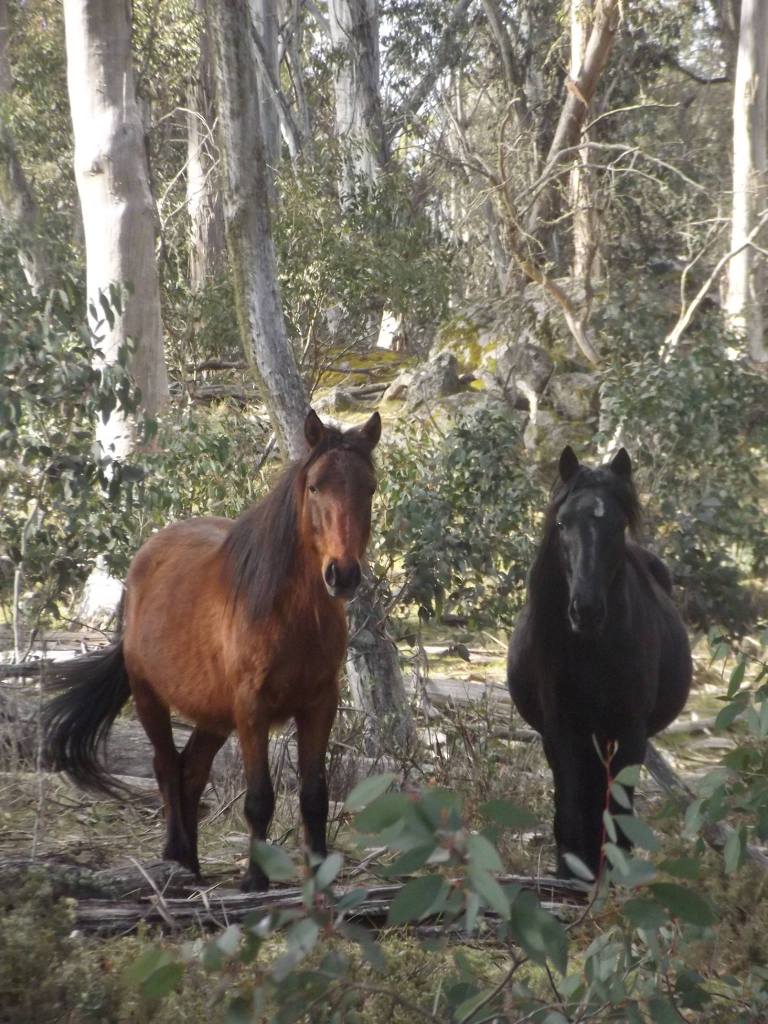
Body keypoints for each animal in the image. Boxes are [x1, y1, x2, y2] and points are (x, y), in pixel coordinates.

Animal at [40, 407, 382, 888]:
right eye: (315, 486)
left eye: (368, 488)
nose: (343, 574)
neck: (289, 611)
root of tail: (146, 558)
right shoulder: (252, 708)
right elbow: (259, 797)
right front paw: (255, 878)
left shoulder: (319, 704)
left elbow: (315, 795)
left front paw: (318, 875)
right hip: (150, 698)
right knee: (168, 768)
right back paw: (175, 858)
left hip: (214, 716)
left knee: (193, 770)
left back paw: (190, 861)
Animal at [507, 444, 696, 876]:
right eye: (562, 524)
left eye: (618, 525)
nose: (587, 610)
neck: (591, 648)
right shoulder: (562, 729)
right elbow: (571, 806)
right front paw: (571, 873)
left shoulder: (628, 731)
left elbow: (620, 811)